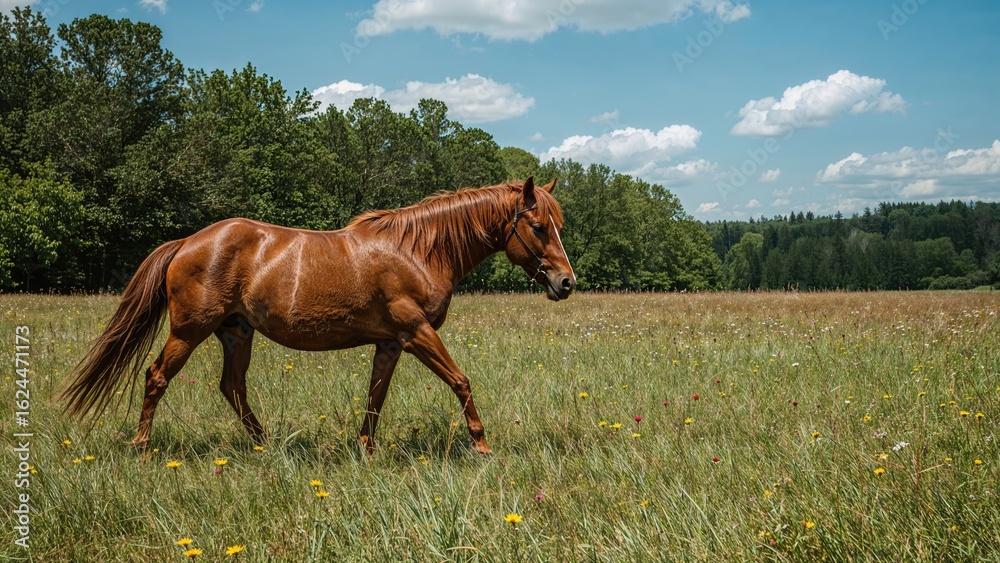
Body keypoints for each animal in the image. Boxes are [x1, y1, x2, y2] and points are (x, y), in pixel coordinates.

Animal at [58, 177, 575, 454]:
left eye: (559, 225)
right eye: (537, 226)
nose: (566, 283)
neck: (416, 251)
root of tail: (187, 241)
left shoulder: (390, 343)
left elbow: (375, 397)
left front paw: (365, 449)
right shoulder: (416, 332)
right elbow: (461, 381)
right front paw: (481, 445)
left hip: (236, 333)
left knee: (233, 387)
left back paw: (266, 444)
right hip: (190, 330)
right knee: (158, 377)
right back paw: (142, 446)